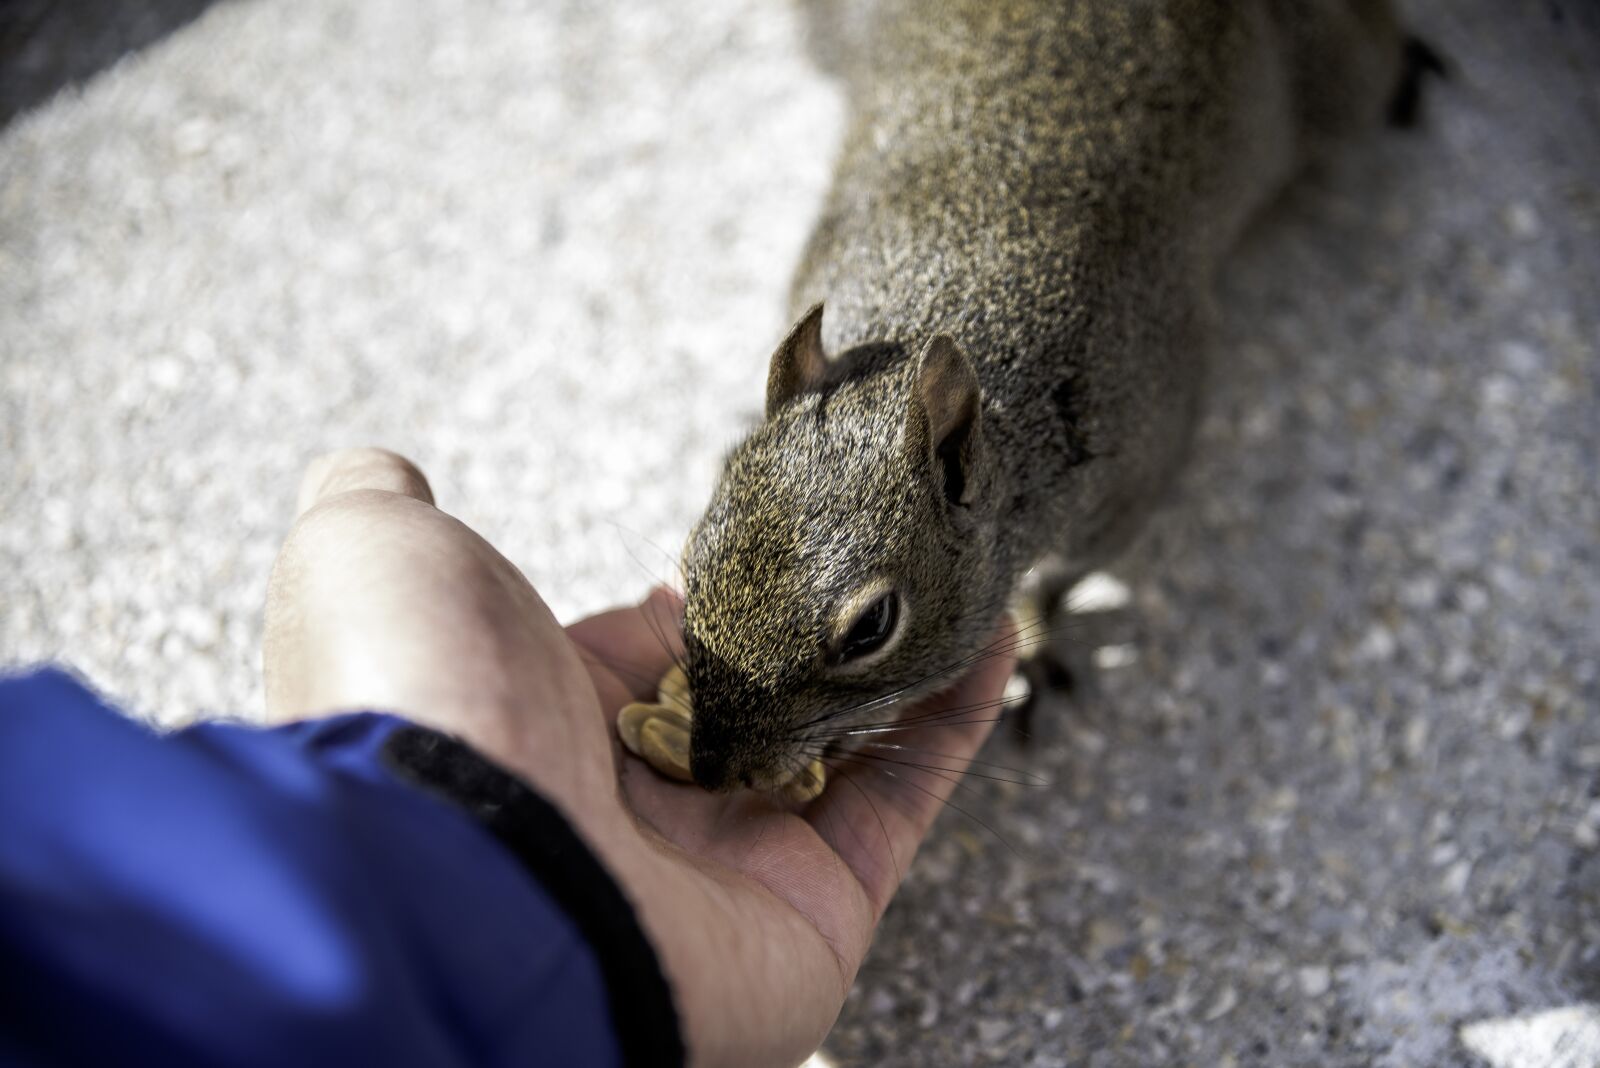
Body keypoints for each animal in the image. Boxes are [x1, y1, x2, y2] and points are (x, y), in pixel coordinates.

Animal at [677, 0, 1427, 793]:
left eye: (871, 628)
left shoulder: (1130, 484)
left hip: (1335, 83)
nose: (711, 771)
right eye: (693, 561)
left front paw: (1033, 643)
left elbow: (1059, 582)